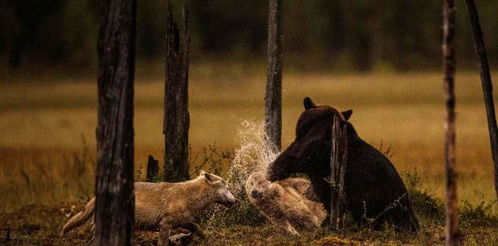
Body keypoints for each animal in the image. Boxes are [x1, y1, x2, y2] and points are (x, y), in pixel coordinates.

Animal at [61, 171, 236, 246]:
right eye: (227, 188)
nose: (235, 200)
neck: (189, 196)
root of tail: (96, 197)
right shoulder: (165, 225)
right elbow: (163, 243)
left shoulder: (183, 221)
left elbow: (198, 228)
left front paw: (207, 240)